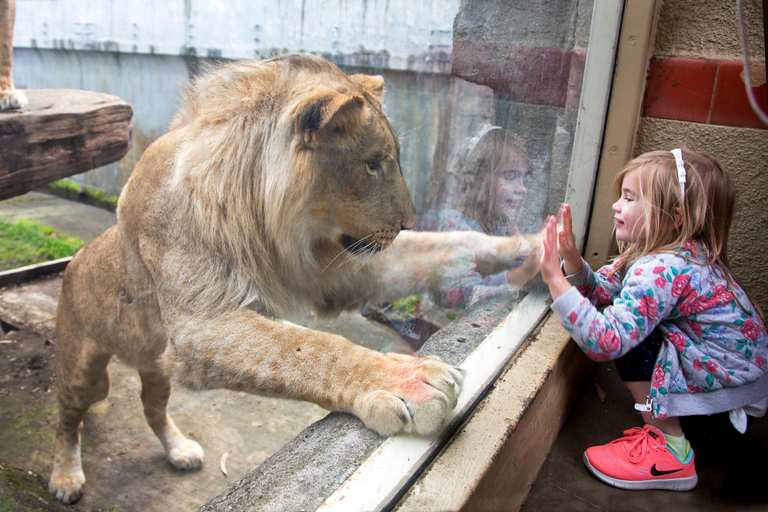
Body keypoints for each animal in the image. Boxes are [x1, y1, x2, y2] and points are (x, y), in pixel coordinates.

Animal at [48, 53, 540, 504]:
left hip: (154, 365)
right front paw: (403, 381)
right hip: (79, 371)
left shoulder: (338, 269)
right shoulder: (198, 324)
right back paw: (65, 477)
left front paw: (531, 250)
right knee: (67, 421)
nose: (406, 223)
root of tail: (72, 263)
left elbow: (450, 245)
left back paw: (179, 450)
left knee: (151, 408)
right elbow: (306, 349)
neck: (261, 221)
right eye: (373, 164)